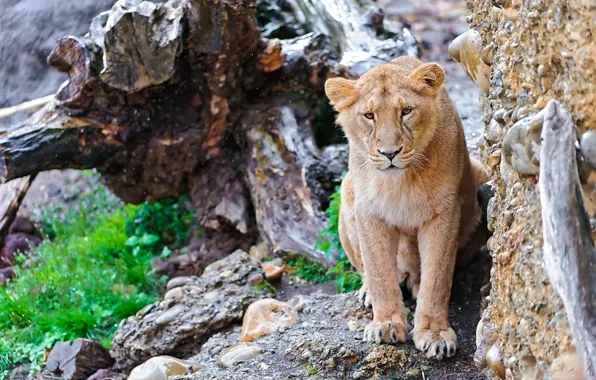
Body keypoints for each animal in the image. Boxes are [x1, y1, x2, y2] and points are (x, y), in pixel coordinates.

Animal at [326, 55, 488, 360]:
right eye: (369, 115)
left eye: (406, 111)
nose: (389, 153)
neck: (401, 181)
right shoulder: (369, 212)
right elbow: (379, 271)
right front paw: (386, 323)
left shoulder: (444, 213)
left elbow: (437, 277)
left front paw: (435, 333)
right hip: (346, 188)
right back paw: (369, 292)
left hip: (481, 176)